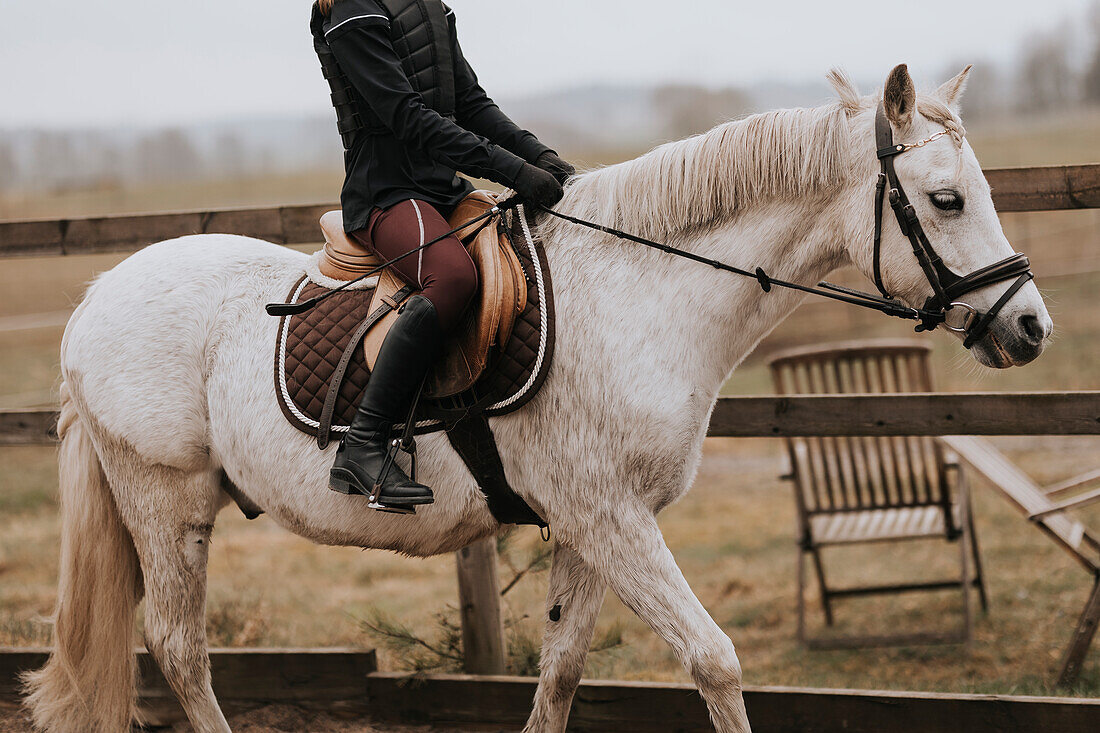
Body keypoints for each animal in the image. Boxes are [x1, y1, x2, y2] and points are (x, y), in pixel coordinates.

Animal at [25, 65, 1051, 726]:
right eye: (947, 199)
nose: (1029, 327)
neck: (642, 292)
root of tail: (97, 296)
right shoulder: (609, 516)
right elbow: (714, 659)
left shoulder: (594, 523)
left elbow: (559, 675)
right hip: (166, 501)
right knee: (178, 647)